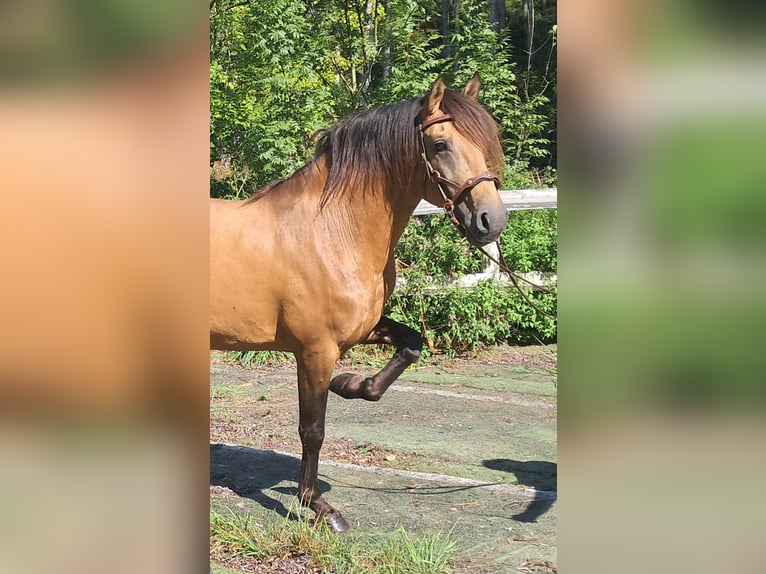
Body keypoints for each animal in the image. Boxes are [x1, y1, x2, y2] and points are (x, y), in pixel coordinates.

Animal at [210, 74, 510, 532]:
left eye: (487, 140)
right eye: (441, 144)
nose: (491, 221)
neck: (333, 232)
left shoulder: (362, 329)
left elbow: (410, 345)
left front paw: (350, 384)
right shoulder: (315, 350)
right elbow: (312, 429)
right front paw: (318, 506)